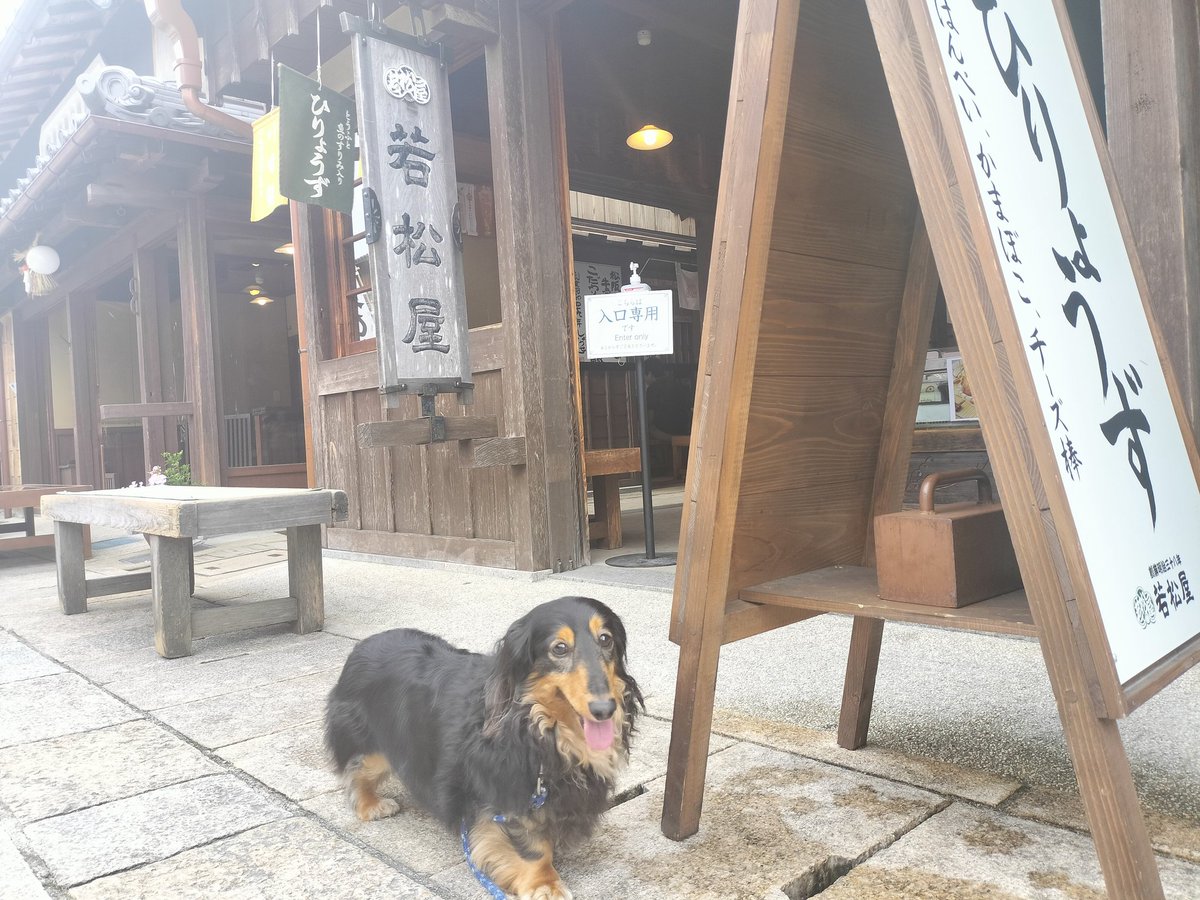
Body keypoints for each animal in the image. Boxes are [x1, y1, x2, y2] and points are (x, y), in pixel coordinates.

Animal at [324, 595, 643, 897]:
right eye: (560, 648)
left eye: (606, 639)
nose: (605, 709)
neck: (535, 724)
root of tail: (363, 645)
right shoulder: (510, 792)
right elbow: (532, 846)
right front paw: (545, 884)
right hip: (371, 745)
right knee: (357, 771)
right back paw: (371, 805)